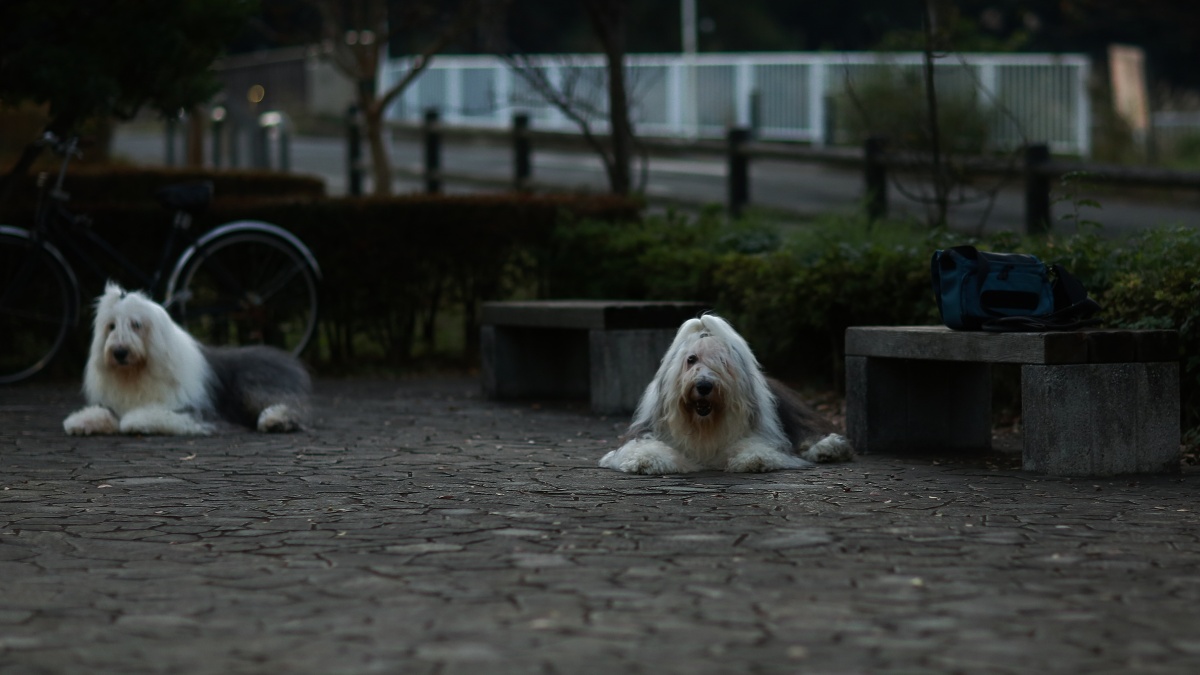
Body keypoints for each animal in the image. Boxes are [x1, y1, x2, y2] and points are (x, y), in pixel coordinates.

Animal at [63, 282, 310, 436]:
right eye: (111, 326)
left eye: (136, 324)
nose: (119, 352)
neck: (138, 373)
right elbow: (106, 413)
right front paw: (79, 421)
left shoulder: (194, 411)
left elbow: (150, 415)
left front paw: (135, 422)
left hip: (254, 388)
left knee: (290, 408)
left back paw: (275, 420)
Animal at [599, 313, 854, 474]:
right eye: (691, 359)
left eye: (722, 361)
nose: (704, 386)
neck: (704, 424)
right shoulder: (646, 431)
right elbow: (641, 447)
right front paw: (647, 460)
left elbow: (757, 447)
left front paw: (754, 459)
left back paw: (827, 448)